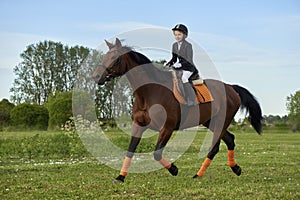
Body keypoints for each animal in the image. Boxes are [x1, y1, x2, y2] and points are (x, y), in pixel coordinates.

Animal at [92, 38, 262, 184]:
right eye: (105, 56)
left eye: (115, 58)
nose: (96, 76)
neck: (149, 93)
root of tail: (231, 87)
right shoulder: (138, 125)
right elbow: (130, 150)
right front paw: (120, 177)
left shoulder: (167, 128)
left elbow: (156, 153)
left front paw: (174, 169)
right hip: (211, 122)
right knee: (230, 139)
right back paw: (235, 168)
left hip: (221, 121)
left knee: (215, 147)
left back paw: (199, 174)